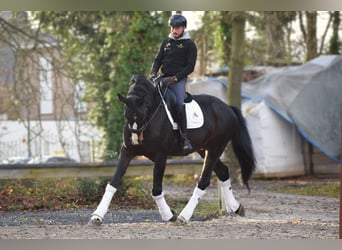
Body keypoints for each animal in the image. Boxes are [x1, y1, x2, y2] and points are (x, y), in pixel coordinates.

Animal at [89, 74, 255, 225]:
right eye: (126, 114)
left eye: (145, 109)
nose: (136, 139)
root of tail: (228, 108)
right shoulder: (127, 152)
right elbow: (113, 183)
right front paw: (97, 216)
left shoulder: (161, 155)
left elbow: (156, 189)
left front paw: (168, 215)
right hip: (204, 149)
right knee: (223, 172)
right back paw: (236, 207)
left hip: (215, 148)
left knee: (204, 181)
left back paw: (184, 216)